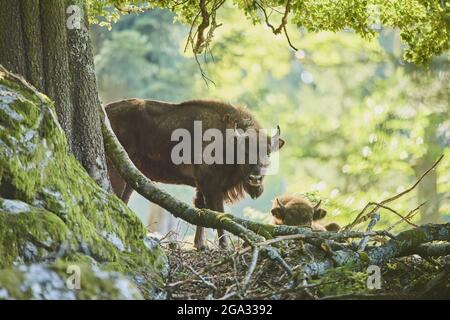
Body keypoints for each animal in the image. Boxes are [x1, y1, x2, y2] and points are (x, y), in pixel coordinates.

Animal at [105, 99, 284, 249]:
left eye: (268, 152)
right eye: (245, 151)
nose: (255, 178)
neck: (227, 140)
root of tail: (106, 109)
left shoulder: (203, 186)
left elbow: (201, 209)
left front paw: (200, 245)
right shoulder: (211, 185)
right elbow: (218, 212)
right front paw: (223, 246)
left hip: (131, 177)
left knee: (123, 199)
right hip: (115, 170)